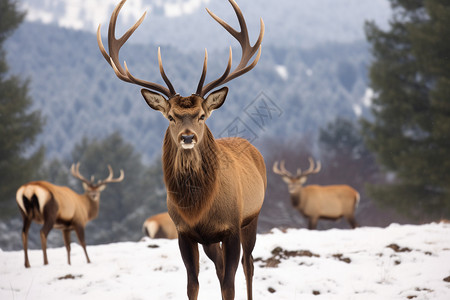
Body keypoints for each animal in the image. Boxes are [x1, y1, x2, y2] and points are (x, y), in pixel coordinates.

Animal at [98, 0, 266, 298]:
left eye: (201, 115)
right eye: (171, 116)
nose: (188, 137)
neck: (199, 208)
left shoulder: (232, 227)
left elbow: (230, 285)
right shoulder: (184, 232)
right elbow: (193, 284)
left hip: (253, 216)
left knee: (248, 266)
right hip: (210, 240)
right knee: (220, 267)